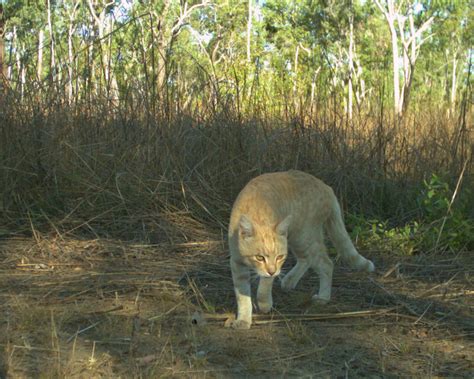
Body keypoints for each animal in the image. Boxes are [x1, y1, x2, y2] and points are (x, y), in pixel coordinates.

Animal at [228, 170, 376, 330]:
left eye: (279, 257)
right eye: (260, 257)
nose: (273, 271)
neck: (258, 215)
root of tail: (326, 187)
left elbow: (264, 286)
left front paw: (264, 304)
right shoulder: (236, 263)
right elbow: (242, 295)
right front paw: (243, 319)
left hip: (304, 238)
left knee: (326, 264)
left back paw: (323, 297)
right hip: (298, 239)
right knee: (306, 259)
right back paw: (290, 280)